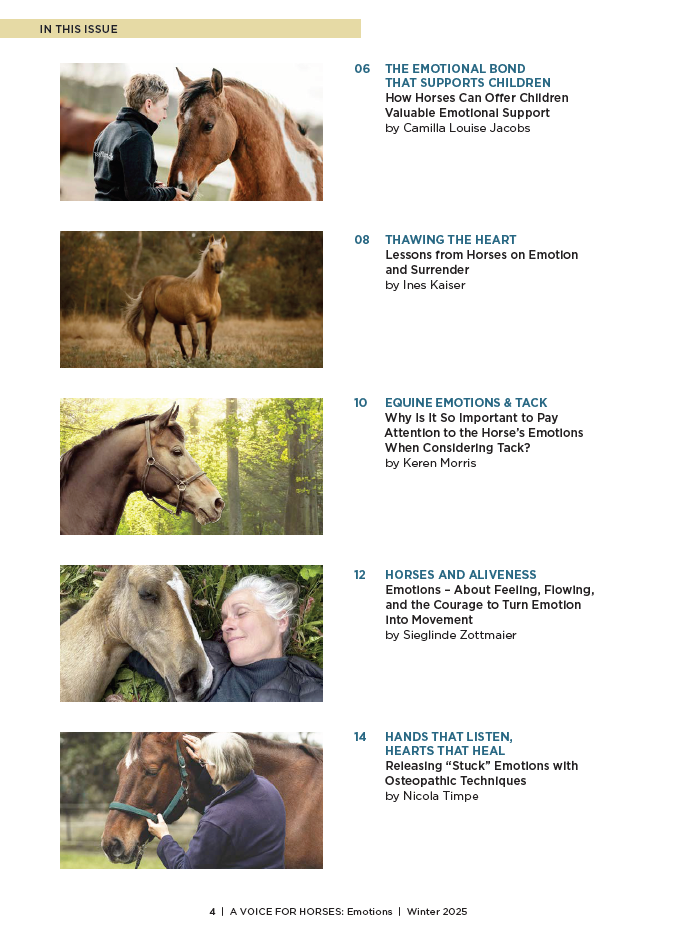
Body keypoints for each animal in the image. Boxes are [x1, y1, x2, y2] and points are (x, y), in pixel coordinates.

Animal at [123, 236, 226, 368]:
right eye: (211, 249)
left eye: (224, 251)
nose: (219, 266)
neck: (206, 292)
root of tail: (147, 285)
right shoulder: (191, 319)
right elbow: (195, 340)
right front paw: (193, 361)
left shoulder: (212, 321)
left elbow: (209, 343)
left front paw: (206, 362)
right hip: (150, 314)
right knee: (147, 338)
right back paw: (149, 363)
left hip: (176, 320)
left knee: (179, 338)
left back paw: (185, 358)